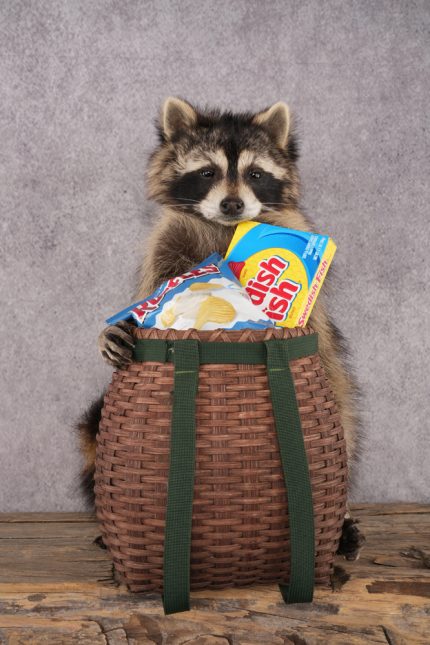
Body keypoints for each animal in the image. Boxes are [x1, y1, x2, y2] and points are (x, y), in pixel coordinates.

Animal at [77, 97, 364, 559]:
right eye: (208, 172)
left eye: (255, 174)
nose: (232, 205)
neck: (226, 229)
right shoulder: (167, 243)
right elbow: (150, 288)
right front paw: (117, 327)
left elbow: (311, 325)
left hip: (334, 392)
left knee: (343, 415)